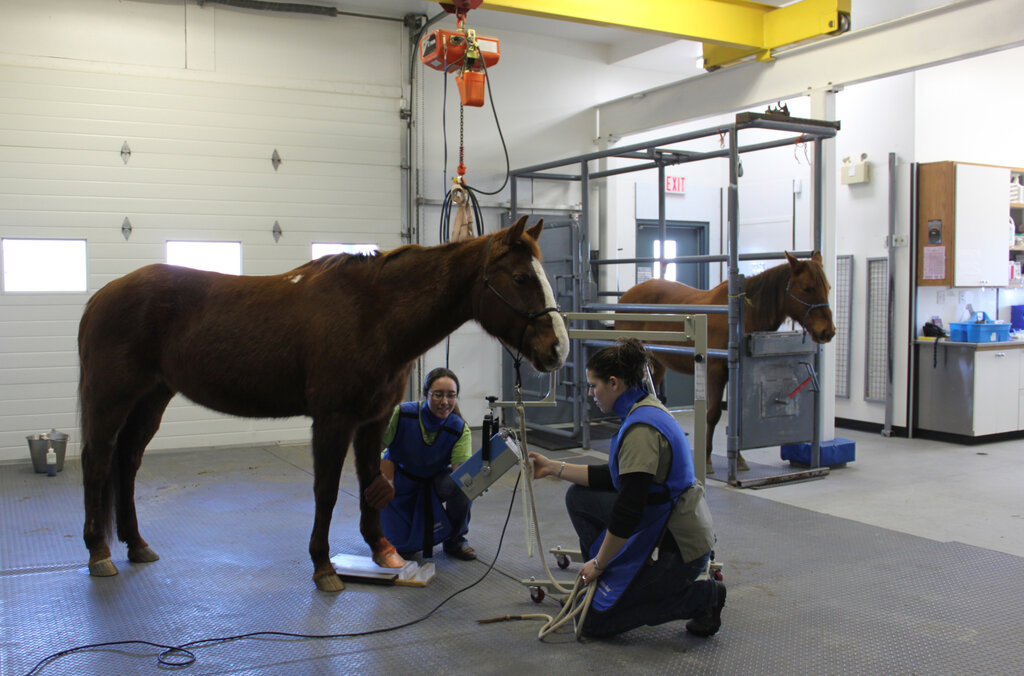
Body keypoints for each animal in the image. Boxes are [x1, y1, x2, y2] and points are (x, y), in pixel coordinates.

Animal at [77, 216, 569, 589]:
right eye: (521, 277)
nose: (558, 349)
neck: (373, 312)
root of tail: (101, 296)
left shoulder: (373, 418)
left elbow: (373, 482)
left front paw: (384, 553)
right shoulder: (333, 420)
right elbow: (327, 491)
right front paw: (323, 566)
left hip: (152, 397)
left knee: (127, 461)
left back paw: (137, 545)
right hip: (111, 399)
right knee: (98, 461)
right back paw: (99, 553)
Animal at [618, 250, 835, 473]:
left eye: (827, 287)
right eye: (807, 288)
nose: (827, 331)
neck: (741, 316)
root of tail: (626, 297)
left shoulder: (737, 375)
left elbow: (737, 419)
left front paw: (738, 460)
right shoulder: (716, 373)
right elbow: (713, 414)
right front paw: (706, 461)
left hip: (657, 363)